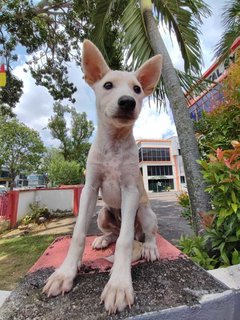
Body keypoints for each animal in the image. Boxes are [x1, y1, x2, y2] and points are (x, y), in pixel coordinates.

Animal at [43, 38, 163, 314]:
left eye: (137, 89)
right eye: (107, 85)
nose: (128, 101)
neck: (114, 144)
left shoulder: (131, 190)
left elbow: (125, 242)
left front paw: (118, 285)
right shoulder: (90, 188)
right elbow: (77, 235)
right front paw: (65, 274)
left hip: (145, 211)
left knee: (142, 233)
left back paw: (150, 247)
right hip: (103, 214)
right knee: (114, 234)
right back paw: (102, 239)